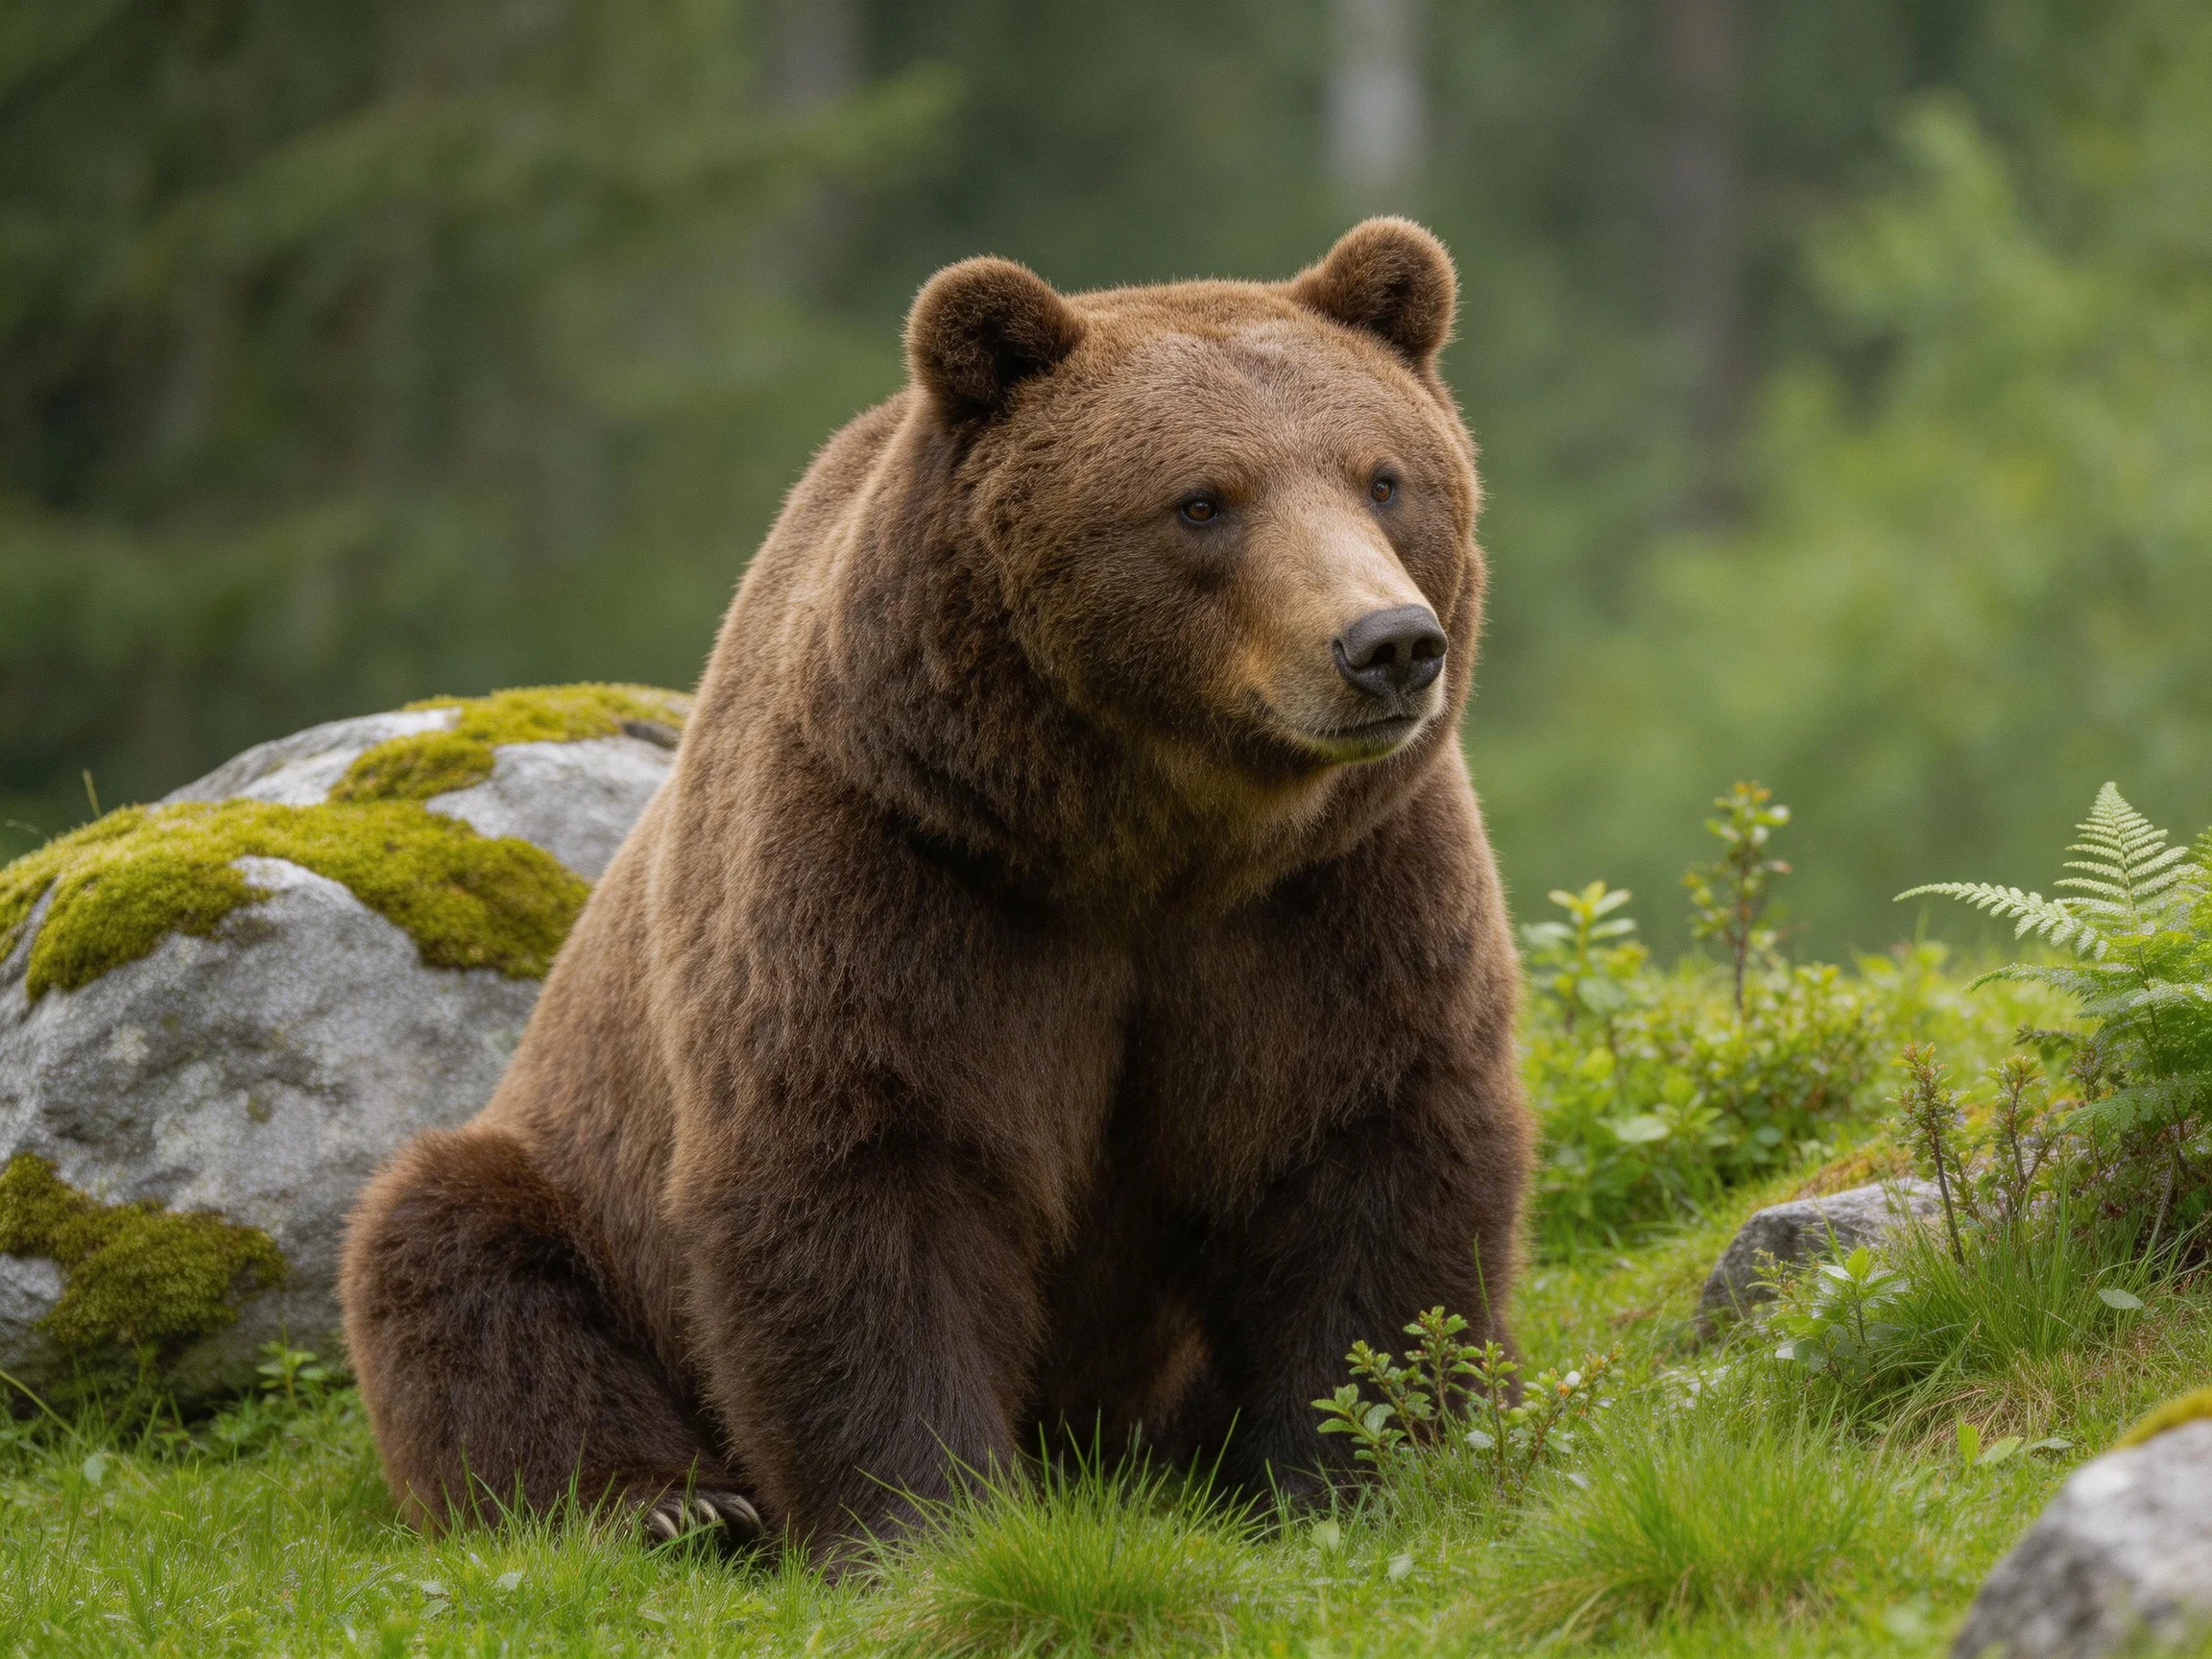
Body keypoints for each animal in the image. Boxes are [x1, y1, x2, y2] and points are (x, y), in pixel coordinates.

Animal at [339, 217, 1533, 1565]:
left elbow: (1367, 1147)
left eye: (1384, 478)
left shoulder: (1334, 893)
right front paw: (923, 1522)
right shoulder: (896, 865)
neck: (1147, 836)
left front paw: (1363, 1473)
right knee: (455, 1257)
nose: (1388, 644)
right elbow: (867, 1168)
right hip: (571, 1185)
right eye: (1202, 501)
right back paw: (666, 1503)